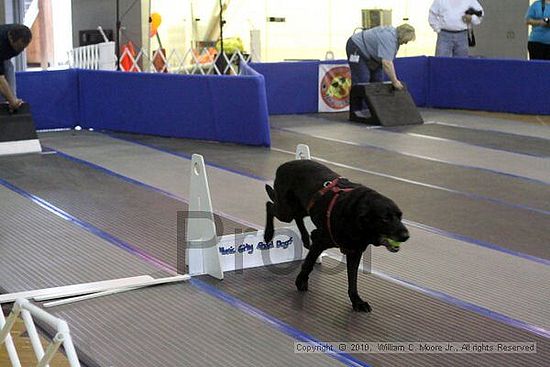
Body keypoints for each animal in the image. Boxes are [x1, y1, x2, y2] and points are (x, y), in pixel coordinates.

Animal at [266, 160, 412, 312]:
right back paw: (268, 234)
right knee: (270, 206)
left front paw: (357, 301)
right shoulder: (320, 240)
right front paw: (301, 281)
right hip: (285, 211)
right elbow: (309, 263)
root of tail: (283, 165)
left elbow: (353, 280)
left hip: (301, 208)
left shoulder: (355, 252)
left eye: (400, 216)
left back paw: (305, 238)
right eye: (385, 218)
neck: (355, 219)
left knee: (297, 216)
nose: (406, 235)